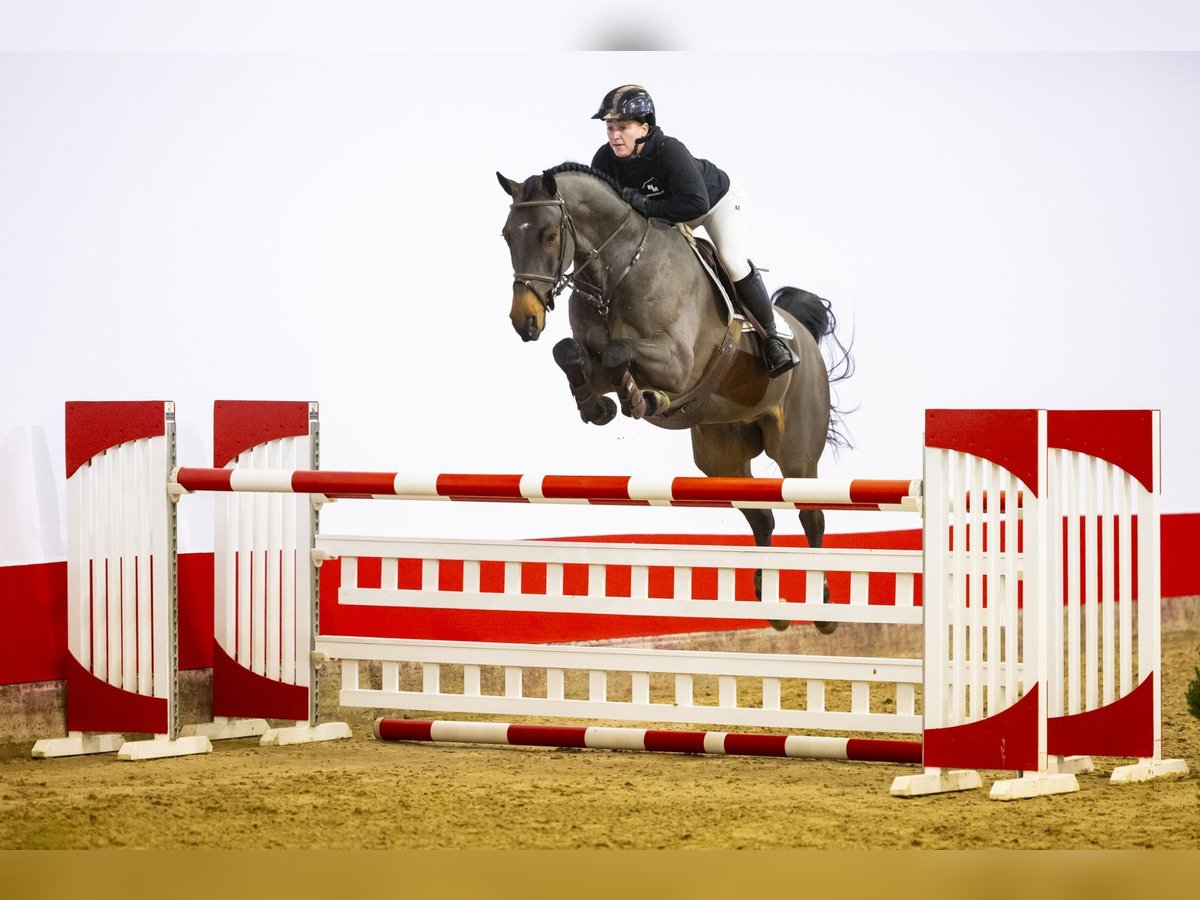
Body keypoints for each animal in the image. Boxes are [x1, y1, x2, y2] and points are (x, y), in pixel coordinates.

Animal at [496, 162, 854, 628]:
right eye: (507, 235)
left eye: (550, 236)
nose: (525, 321)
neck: (615, 272)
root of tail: (806, 340)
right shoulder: (593, 357)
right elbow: (569, 352)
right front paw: (599, 406)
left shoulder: (678, 362)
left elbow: (621, 351)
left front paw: (642, 399)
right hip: (721, 458)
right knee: (761, 517)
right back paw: (769, 603)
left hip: (795, 452)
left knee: (811, 514)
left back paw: (822, 608)